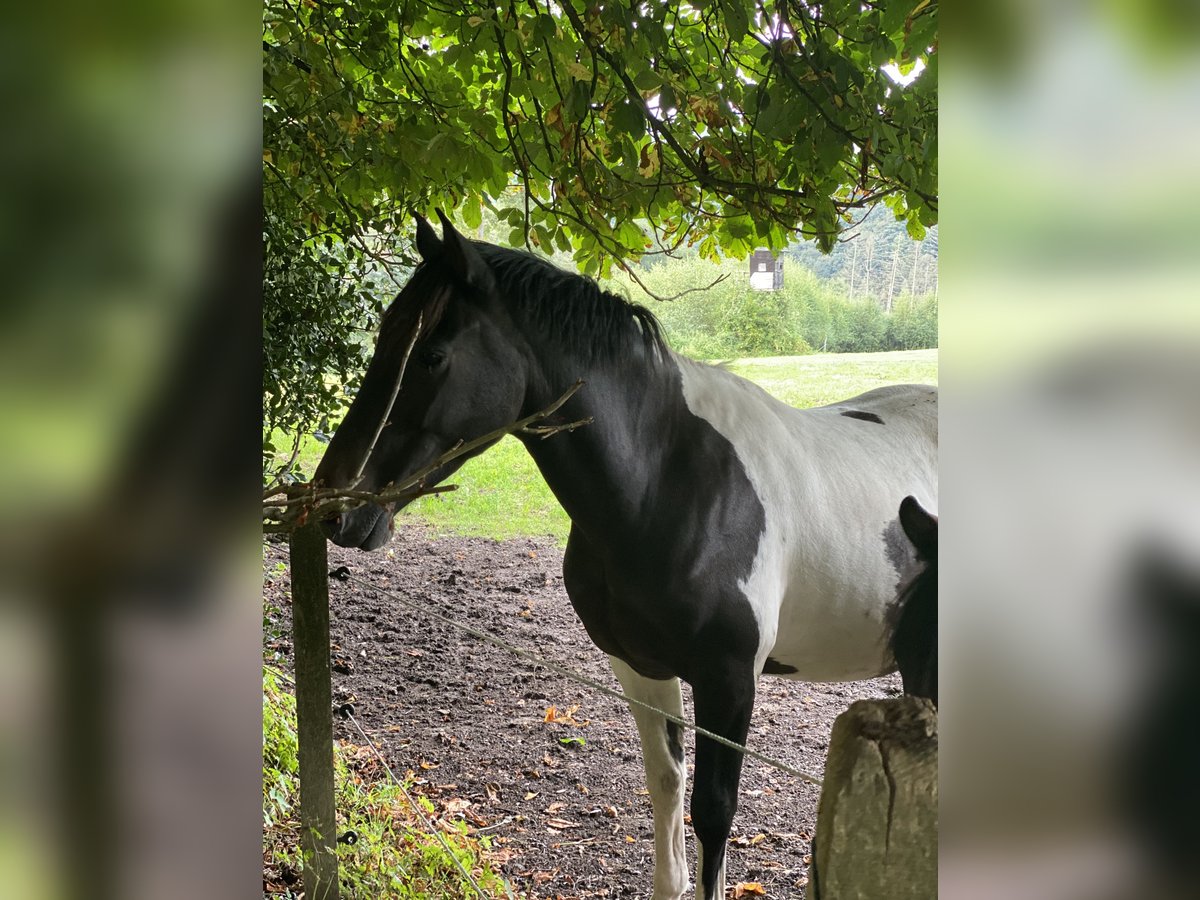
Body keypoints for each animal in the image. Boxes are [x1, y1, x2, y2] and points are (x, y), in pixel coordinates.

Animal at [314, 213, 940, 900]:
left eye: (431, 355)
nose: (335, 506)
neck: (668, 482)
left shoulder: (729, 680)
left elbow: (713, 813)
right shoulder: (639, 667)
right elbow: (666, 788)